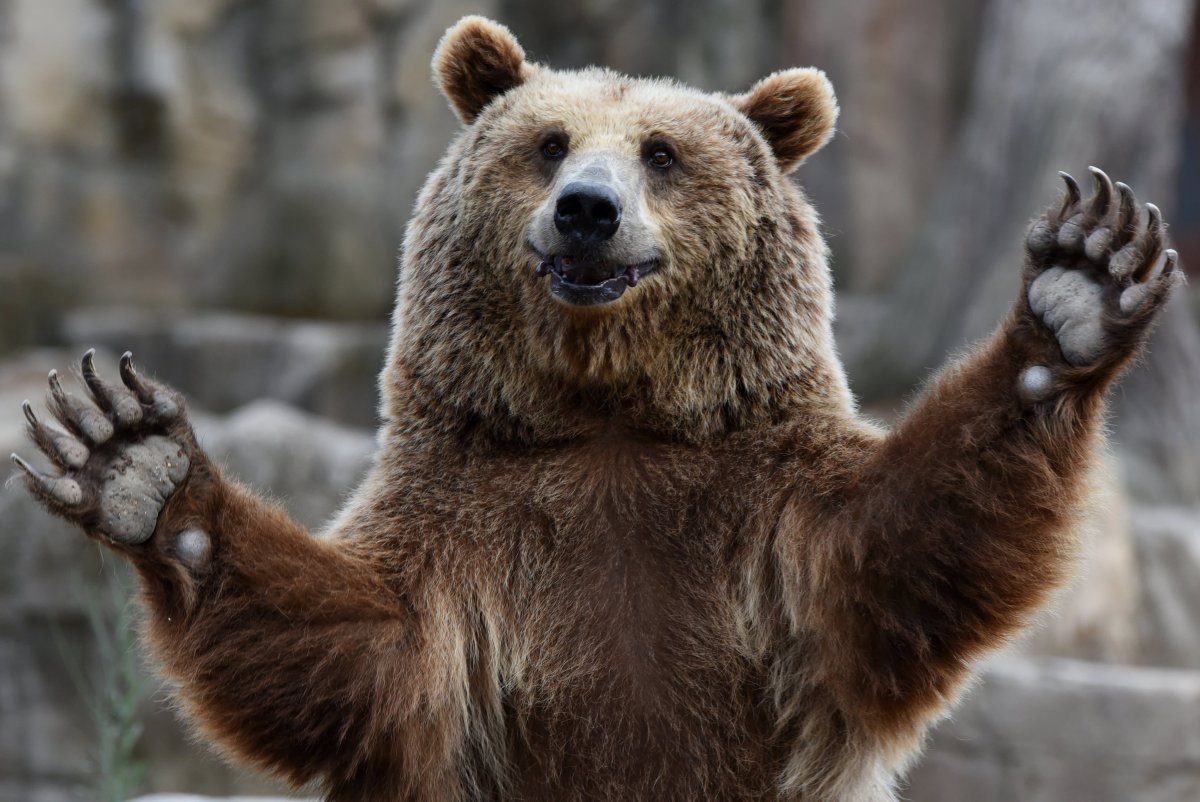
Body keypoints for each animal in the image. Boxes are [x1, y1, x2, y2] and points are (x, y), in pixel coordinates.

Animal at [12, 14, 1182, 802]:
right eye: (549, 143)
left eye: (662, 153)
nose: (586, 211)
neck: (609, 408)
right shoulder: (475, 519)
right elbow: (362, 649)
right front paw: (134, 461)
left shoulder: (760, 504)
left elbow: (903, 541)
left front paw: (1077, 287)